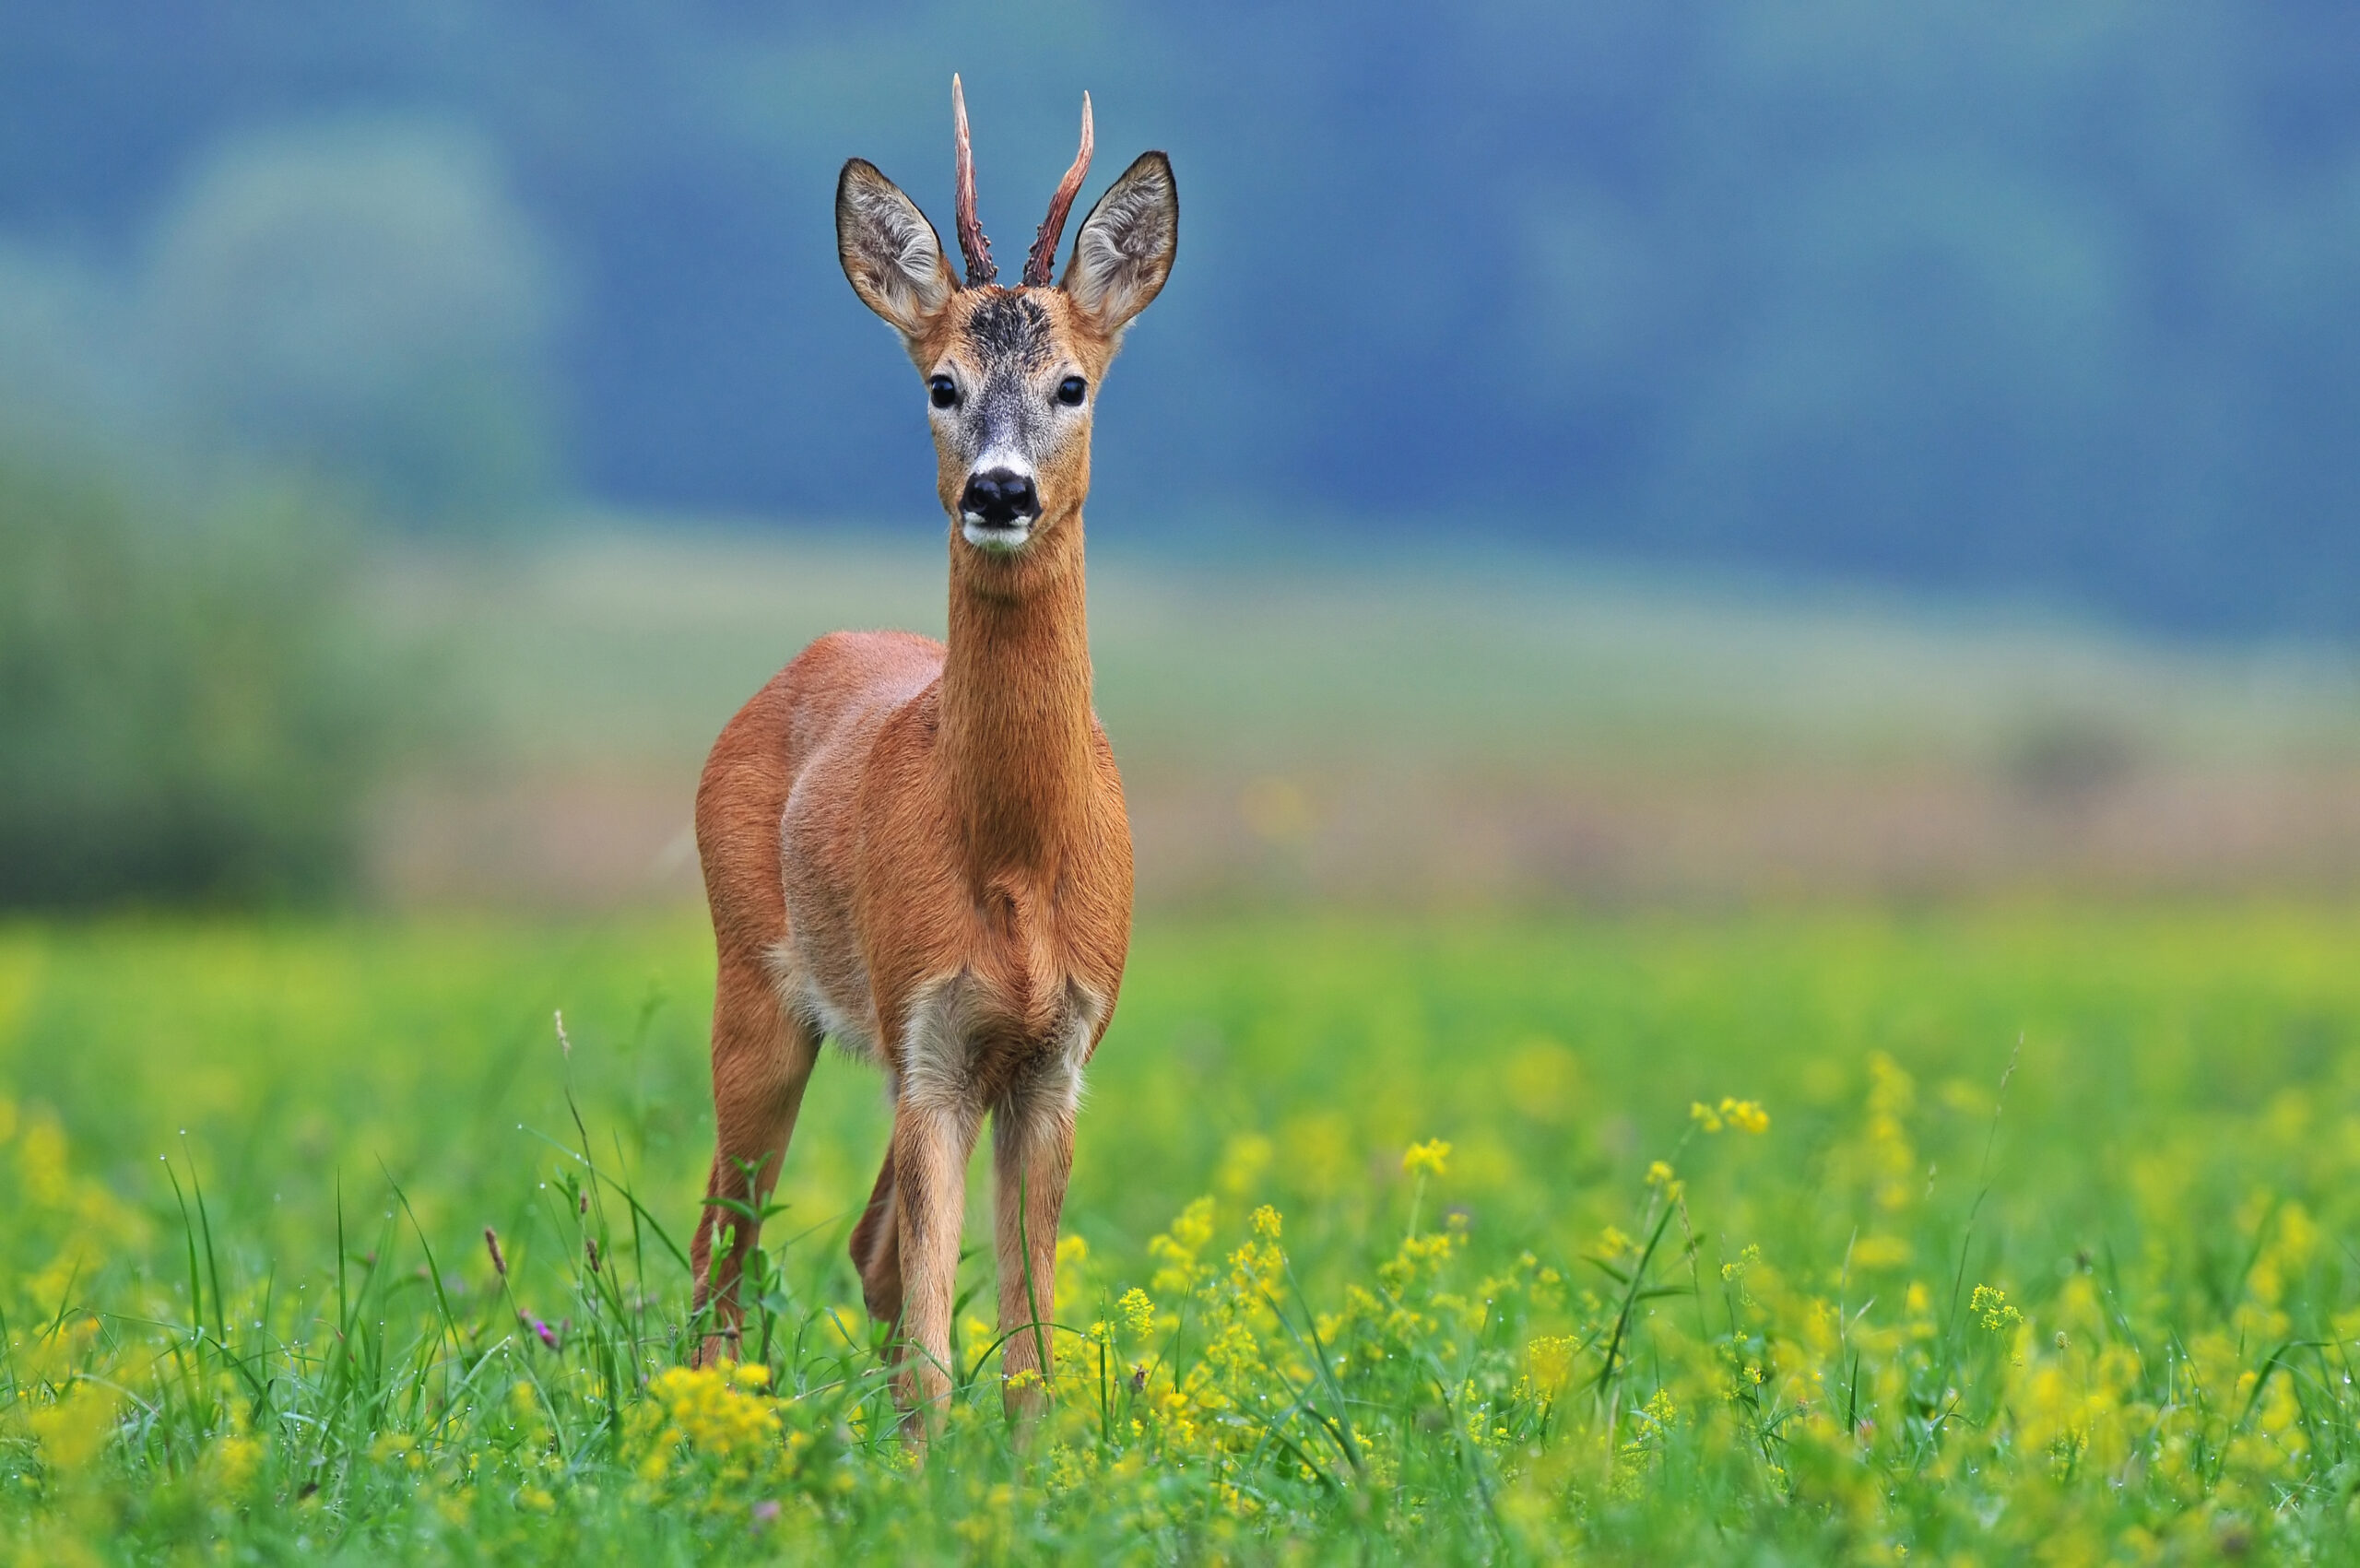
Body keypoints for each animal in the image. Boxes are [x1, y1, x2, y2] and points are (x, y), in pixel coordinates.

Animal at [689, 82, 1174, 1435]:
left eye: (1073, 384)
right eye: (943, 384)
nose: (1000, 492)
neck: (1012, 858)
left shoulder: (1055, 1057)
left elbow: (1029, 1341)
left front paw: (1026, 1465)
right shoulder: (929, 1039)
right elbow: (931, 1348)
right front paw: (919, 1470)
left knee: (853, 1250)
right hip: (755, 988)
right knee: (721, 1250)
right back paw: (702, 1429)